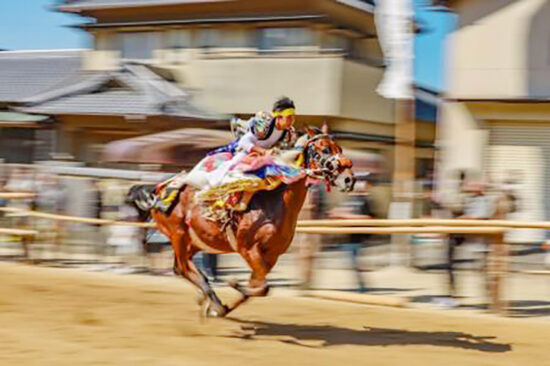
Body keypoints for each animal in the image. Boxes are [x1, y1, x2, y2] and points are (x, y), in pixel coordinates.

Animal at [127, 127, 356, 316]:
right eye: (325, 149)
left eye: (340, 148)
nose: (349, 179)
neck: (275, 203)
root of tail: (158, 188)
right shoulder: (248, 248)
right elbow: (263, 287)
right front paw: (231, 287)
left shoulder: (271, 256)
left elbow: (258, 287)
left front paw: (226, 302)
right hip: (179, 234)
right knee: (183, 267)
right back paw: (212, 299)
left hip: (197, 240)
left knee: (179, 268)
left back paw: (209, 299)